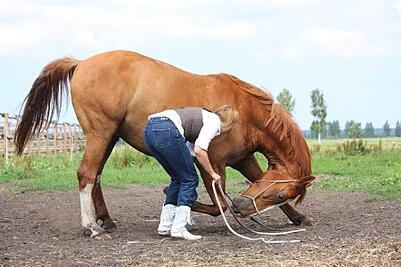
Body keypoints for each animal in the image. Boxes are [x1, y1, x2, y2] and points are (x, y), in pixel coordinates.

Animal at [14, 50, 314, 239]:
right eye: (279, 195)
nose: (242, 207)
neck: (245, 111)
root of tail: (82, 62)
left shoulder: (243, 159)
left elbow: (253, 179)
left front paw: (299, 218)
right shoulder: (212, 163)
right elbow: (218, 204)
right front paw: (187, 208)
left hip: (109, 138)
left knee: (95, 176)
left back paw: (106, 221)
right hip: (100, 134)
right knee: (86, 174)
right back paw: (92, 228)